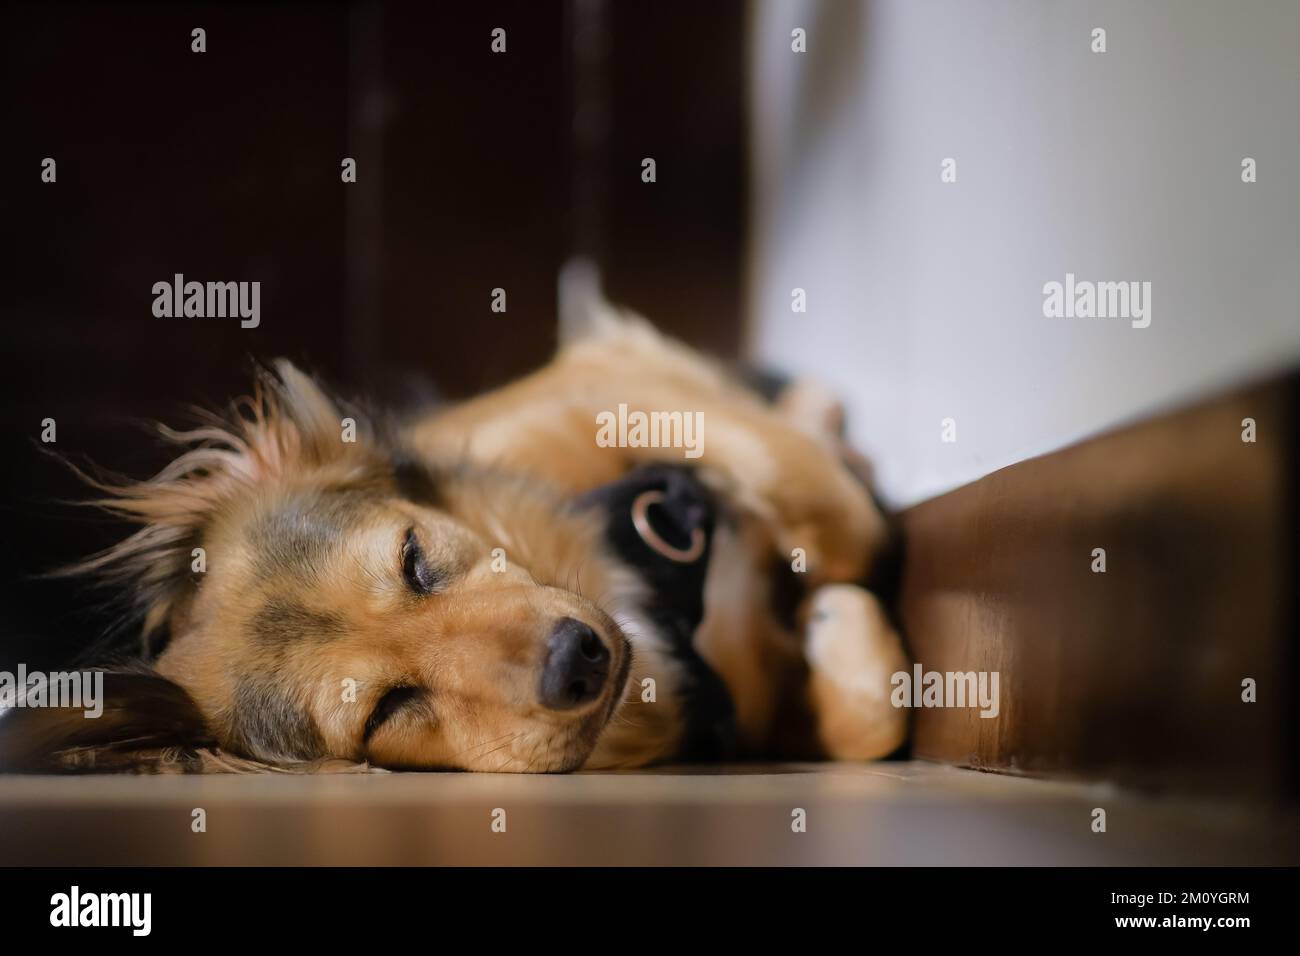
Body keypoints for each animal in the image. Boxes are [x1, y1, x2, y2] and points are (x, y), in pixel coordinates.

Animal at [2, 310, 904, 775]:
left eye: (414, 558)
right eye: (388, 709)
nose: (579, 660)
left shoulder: (611, 384)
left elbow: (842, 520)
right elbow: (867, 719)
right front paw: (842, 633)